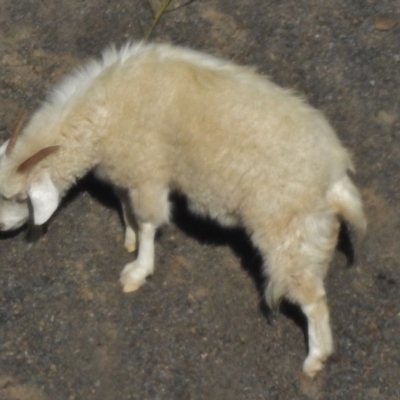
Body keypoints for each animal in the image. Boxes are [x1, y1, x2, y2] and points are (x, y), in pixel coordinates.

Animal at [0, 42, 366, 376]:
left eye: (19, 198)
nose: (2, 227)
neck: (104, 110)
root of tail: (335, 175)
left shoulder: (148, 169)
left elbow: (149, 221)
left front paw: (138, 271)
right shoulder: (126, 169)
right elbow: (126, 206)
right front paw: (129, 237)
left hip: (289, 232)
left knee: (312, 298)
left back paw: (315, 360)